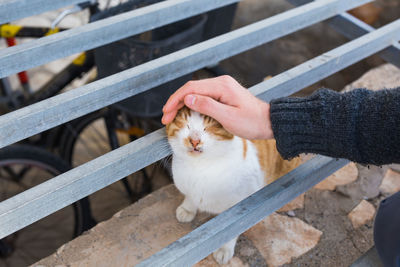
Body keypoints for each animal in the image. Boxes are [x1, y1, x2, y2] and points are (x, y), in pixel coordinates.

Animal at [166, 107, 300, 266]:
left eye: (207, 128)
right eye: (187, 125)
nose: (194, 140)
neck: (199, 168)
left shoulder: (237, 208)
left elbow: (230, 230)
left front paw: (224, 249)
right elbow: (191, 197)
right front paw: (187, 208)